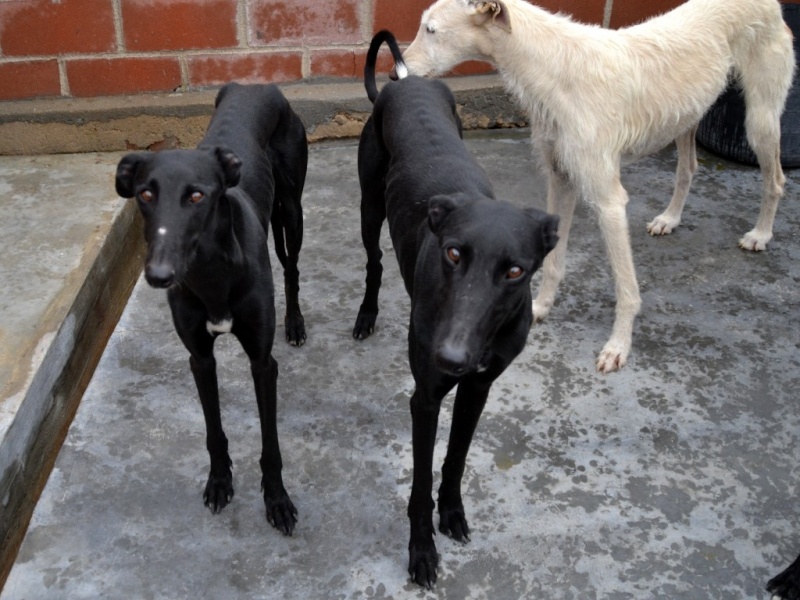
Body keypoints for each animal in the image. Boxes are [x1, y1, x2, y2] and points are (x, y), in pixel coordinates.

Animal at [115, 81, 306, 536]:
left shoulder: (262, 362)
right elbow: (213, 430)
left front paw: (277, 500)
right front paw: (219, 481)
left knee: (291, 266)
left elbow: (271, 443)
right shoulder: (199, 359)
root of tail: (257, 85)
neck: (212, 274)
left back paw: (295, 323)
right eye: (145, 193)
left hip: (292, 209)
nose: (159, 275)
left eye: (197, 195)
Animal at [354, 31, 560, 584]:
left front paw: (453, 513)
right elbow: (420, 482)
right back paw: (365, 316)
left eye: (515, 272)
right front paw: (422, 551)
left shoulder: (477, 389)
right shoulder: (425, 397)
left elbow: (455, 460)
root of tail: (405, 82)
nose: (450, 357)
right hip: (368, 205)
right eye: (451, 253)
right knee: (374, 262)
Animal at [400, 0, 792, 372]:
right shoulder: (560, 179)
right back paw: (670, 218)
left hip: (760, 120)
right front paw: (541, 306)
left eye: (431, 29)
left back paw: (760, 234)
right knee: (689, 168)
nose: (394, 72)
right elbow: (554, 261)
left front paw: (618, 346)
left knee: (775, 179)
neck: (552, 64)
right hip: (687, 117)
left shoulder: (609, 200)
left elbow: (626, 288)